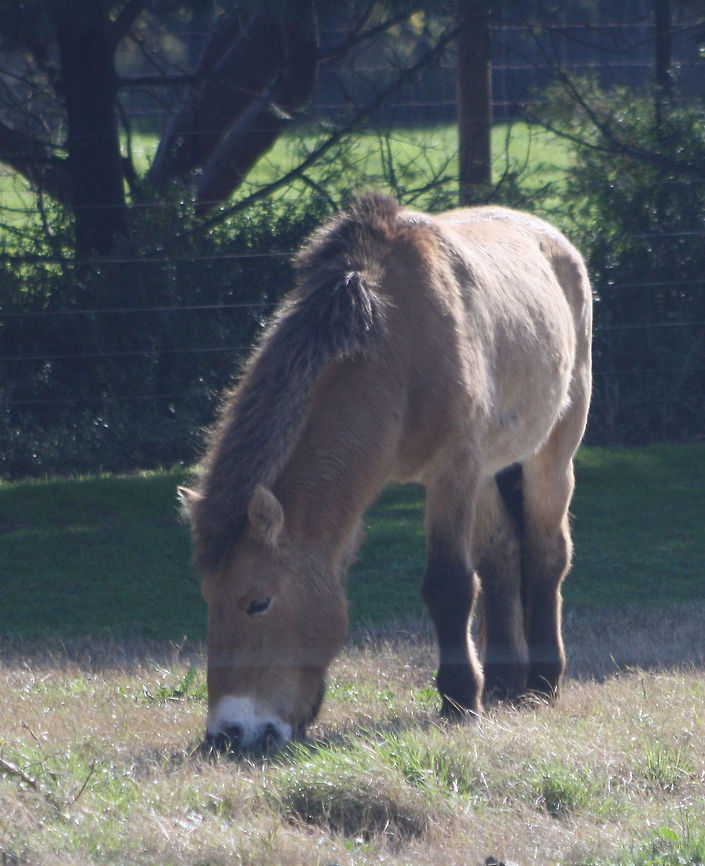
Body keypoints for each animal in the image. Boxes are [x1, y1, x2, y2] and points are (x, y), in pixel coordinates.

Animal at [179, 192, 592, 752]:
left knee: (547, 554)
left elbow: (449, 585)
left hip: (552, 451)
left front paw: (459, 700)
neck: (395, 345)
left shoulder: (454, 471)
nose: (227, 734)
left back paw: (544, 681)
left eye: (257, 603)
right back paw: (506, 682)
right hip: (491, 470)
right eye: (209, 601)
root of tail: (550, 236)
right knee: (502, 558)